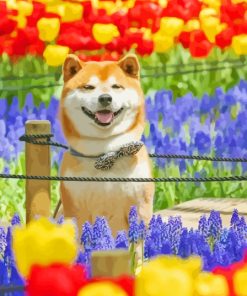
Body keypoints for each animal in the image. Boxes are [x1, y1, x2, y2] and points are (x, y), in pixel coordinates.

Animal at [58, 53, 153, 237]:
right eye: (88, 87)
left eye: (116, 86)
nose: (105, 98)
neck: (104, 152)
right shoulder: (76, 208)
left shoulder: (140, 206)